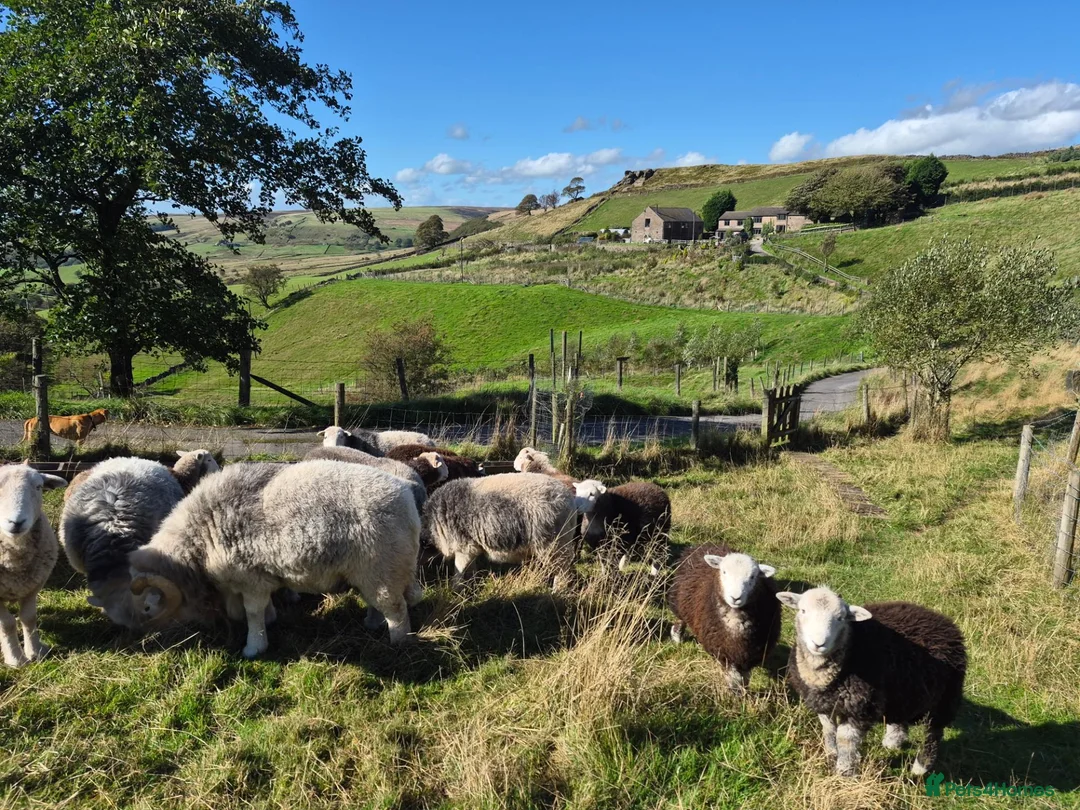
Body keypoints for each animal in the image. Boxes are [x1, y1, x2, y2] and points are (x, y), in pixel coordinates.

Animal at [0, 464, 67, 666]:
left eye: (38, 487)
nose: (16, 522)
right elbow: (7, 623)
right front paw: (15, 659)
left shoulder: (33, 586)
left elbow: (28, 618)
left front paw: (36, 652)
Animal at [127, 460, 423, 657]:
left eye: (150, 603)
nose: (143, 632)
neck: (201, 534)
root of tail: (406, 497)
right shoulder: (255, 579)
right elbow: (262, 608)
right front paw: (270, 620)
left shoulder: (250, 579)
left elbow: (252, 612)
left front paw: (254, 647)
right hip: (373, 570)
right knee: (379, 602)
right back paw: (372, 624)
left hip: (383, 568)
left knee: (395, 608)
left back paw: (398, 644)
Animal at [423, 472, 592, 590]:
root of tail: (569, 500)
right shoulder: (471, 548)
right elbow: (471, 568)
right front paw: (472, 583)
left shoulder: (463, 547)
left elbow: (459, 572)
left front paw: (456, 590)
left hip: (554, 544)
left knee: (562, 572)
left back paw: (557, 592)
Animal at [667, 545, 780, 693]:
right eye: (724, 572)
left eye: (752, 577)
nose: (735, 597)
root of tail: (709, 544)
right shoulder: (724, 652)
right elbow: (733, 677)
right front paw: (734, 694)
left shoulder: (752, 653)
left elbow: (745, 677)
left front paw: (744, 693)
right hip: (679, 601)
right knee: (681, 620)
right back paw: (677, 638)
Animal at [776, 587, 967, 777]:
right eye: (803, 610)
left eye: (840, 618)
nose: (818, 644)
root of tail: (945, 622)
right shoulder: (823, 703)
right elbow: (829, 730)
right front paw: (831, 754)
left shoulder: (861, 708)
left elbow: (846, 740)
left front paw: (844, 772)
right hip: (902, 688)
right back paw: (892, 742)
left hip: (945, 698)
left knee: (933, 734)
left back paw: (920, 767)